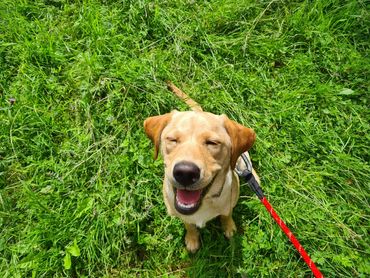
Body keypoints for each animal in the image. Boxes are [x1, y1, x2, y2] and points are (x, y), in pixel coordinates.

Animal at [143, 107, 258, 253]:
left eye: (212, 142)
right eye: (172, 139)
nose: (185, 173)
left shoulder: (228, 204)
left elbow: (226, 215)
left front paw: (229, 227)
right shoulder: (183, 216)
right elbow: (189, 225)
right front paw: (192, 238)